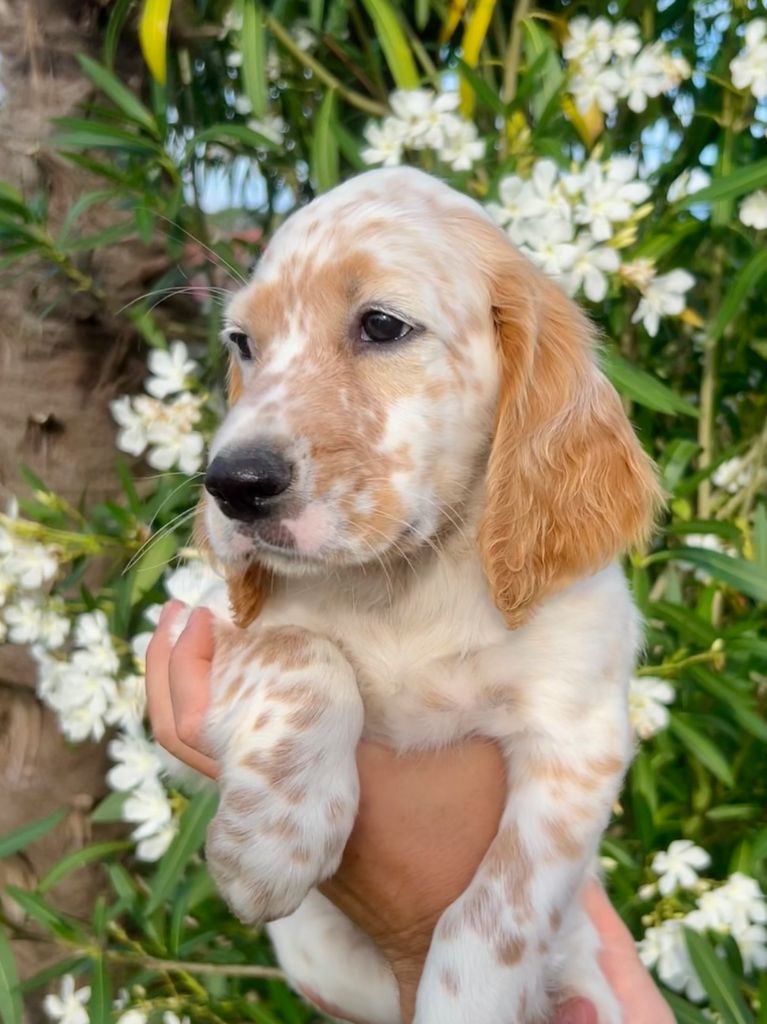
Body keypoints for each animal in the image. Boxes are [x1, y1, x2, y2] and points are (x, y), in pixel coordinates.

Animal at [185, 167, 659, 1023]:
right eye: (243, 344)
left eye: (381, 325)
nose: (232, 485)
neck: (402, 584)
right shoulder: (199, 623)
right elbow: (298, 651)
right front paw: (273, 837)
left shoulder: (575, 738)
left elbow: (495, 910)